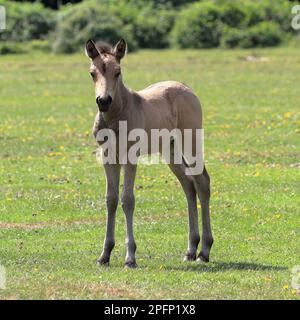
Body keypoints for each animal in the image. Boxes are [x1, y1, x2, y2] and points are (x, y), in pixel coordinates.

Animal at [85, 38, 213, 268]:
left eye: (118, 72)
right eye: (92, 73)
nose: (104, 101)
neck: (116, 116)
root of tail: (186, 88)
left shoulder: (129, 156)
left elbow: (127, 199)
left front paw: (130, 257)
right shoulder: (108, 157)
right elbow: (111, 199)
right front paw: (104, 255)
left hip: (190, 142)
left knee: (202, 182)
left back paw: (204, 251)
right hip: (170, 150)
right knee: (189, 185)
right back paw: (191, 249)